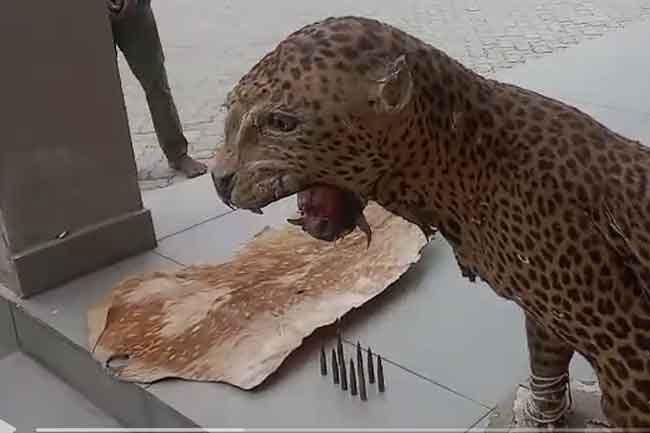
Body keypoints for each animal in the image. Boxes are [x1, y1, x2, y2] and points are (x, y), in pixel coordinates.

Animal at [209, 16, 650, 430]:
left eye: (282, 123)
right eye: (229, 112)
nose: (218, 179)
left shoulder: (627, 355)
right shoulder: (546, 316)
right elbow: (546, 361)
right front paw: (539, 413)